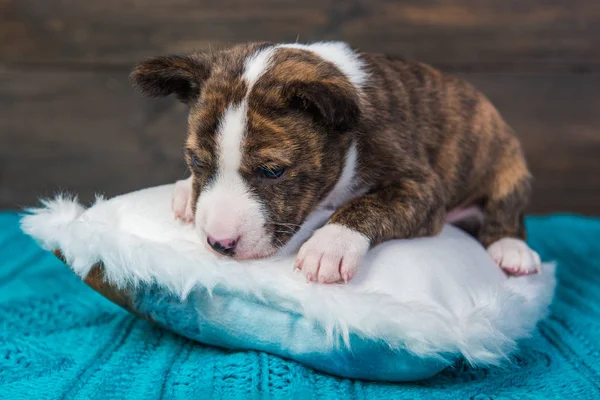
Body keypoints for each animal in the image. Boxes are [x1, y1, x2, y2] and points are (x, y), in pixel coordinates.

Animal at [134, 41, 540, 284]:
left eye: (273, 171)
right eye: (195, 161)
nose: (219, 244)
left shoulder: (422, 187)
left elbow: (370, 204)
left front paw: (330, 246)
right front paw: (185, 191)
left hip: (507, 162)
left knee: (506, 210)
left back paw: (511, 250)